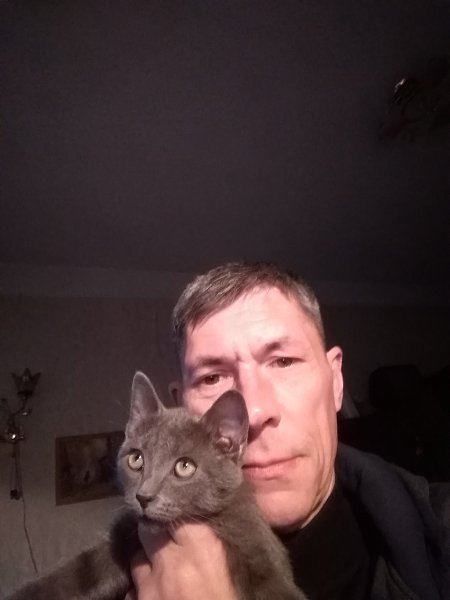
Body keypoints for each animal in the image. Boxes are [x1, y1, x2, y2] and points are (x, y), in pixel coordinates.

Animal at [7, 371, 306, 600]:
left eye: (184, 467)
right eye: (136, 459)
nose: (143, 496)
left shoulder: (252, 538)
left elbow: (273, 585)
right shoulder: (123, 534)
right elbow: (79, 572)